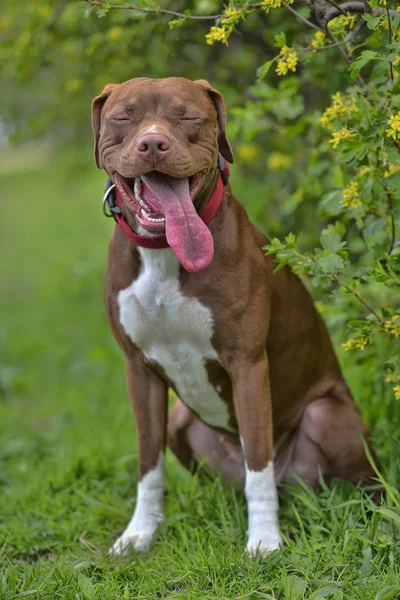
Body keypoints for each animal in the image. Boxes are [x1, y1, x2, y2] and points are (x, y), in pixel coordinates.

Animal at [92, 77, 380, 556]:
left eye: (188, 116)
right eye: (124, 117)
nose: (152, 143)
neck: (165, 253)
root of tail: (293, 483)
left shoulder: (246, 362)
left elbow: (258, 461)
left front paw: (264, 539)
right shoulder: (139, 370)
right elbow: (148, 462)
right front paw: (139, 533)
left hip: (326, 416)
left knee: (353, 477)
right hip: (181, 420)